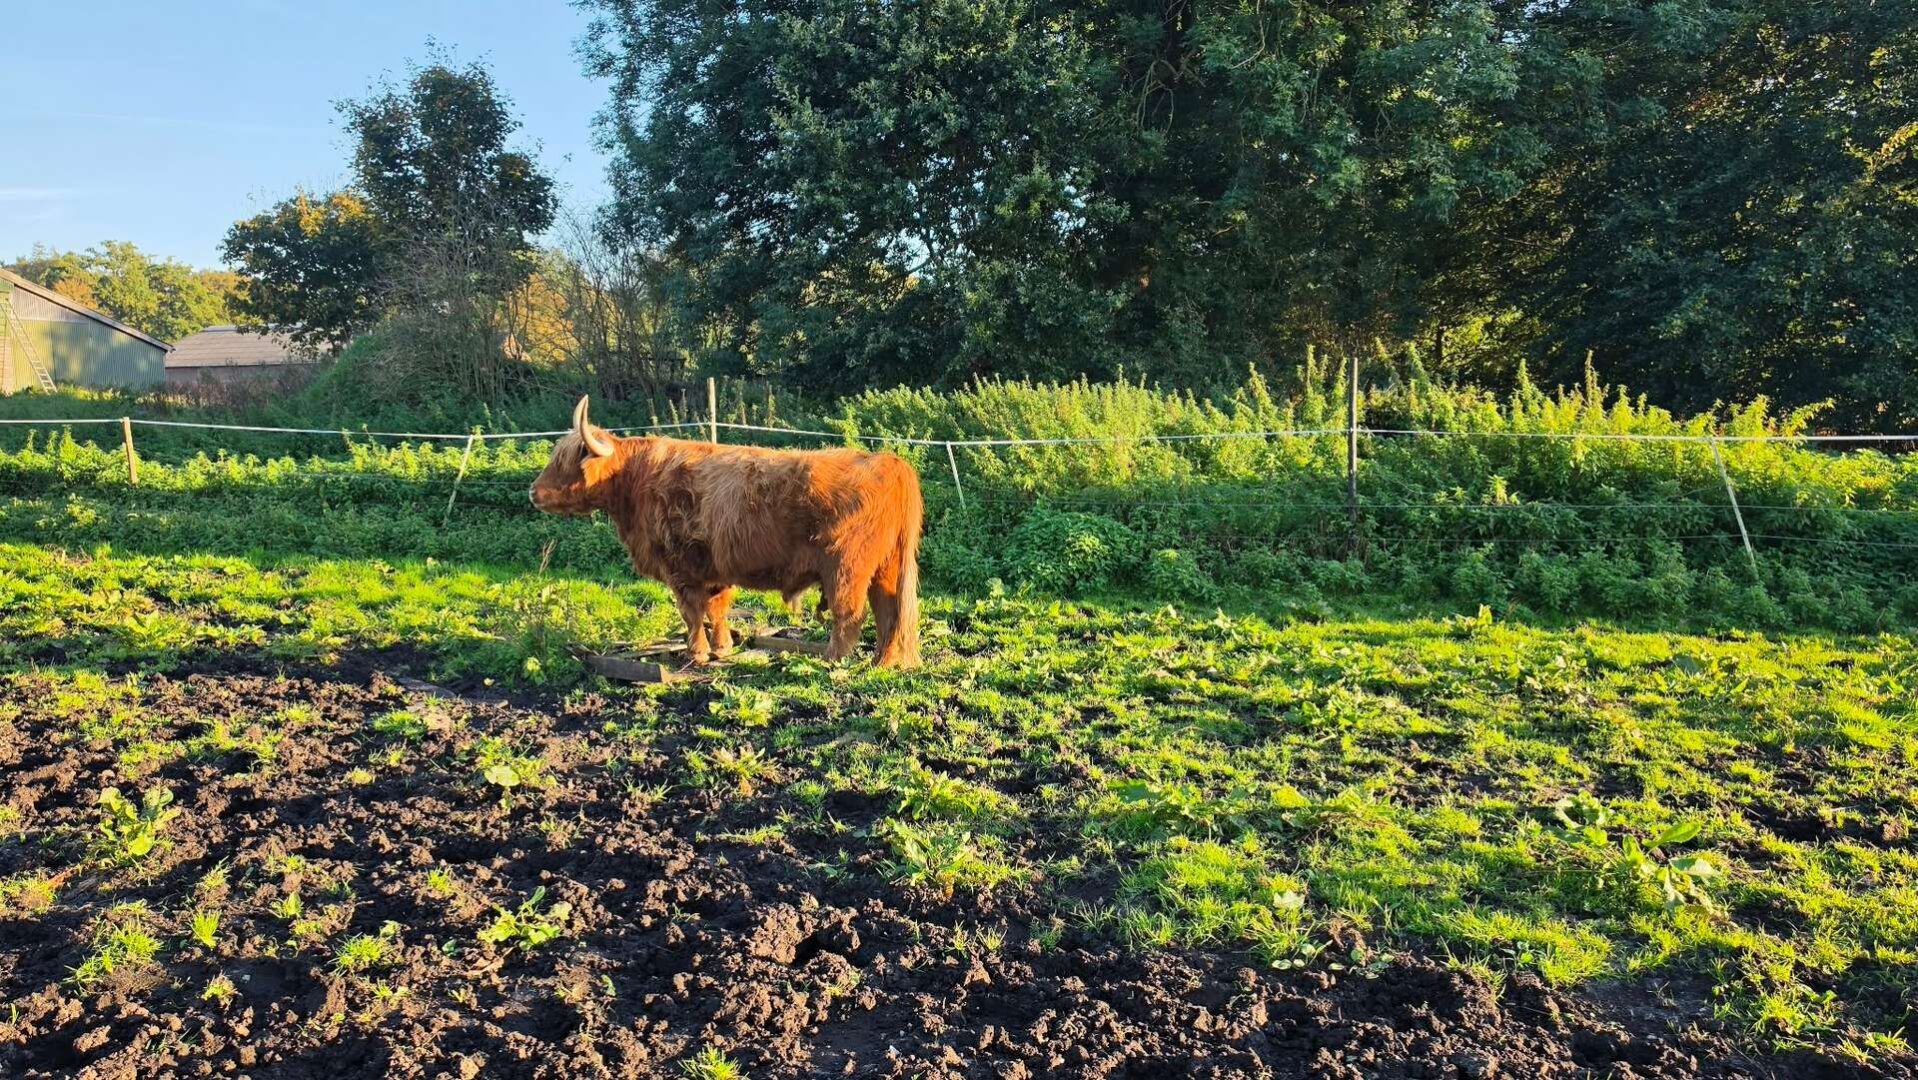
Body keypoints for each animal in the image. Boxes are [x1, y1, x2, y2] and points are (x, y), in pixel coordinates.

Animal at [529, 397, 923, 668]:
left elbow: (691, 612)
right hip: (884, 566)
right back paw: (883, 663)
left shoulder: (680, 568)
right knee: (887, 610)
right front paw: (722, 648)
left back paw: (833, 660)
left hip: (847, 567)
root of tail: (890, 462)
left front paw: (697, 654)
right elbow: (716, 609)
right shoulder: (714, 568)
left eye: (565, 463)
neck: (635, 483)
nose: (533, 492)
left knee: (851, 613)